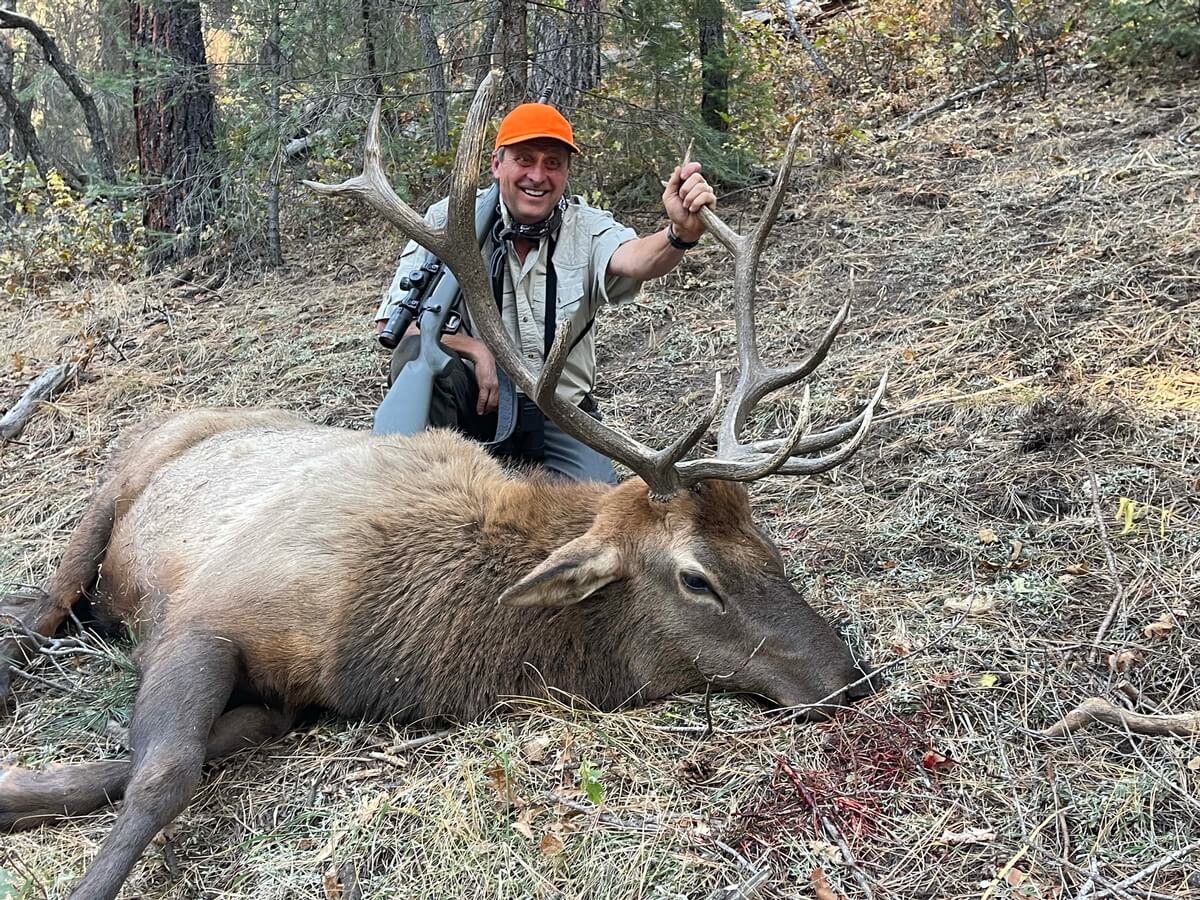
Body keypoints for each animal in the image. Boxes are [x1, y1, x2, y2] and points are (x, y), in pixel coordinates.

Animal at [0, 74, 888, 900]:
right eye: (697, 578)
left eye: (768, 548)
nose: (853, 678)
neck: (387, 636)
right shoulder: (206, 612)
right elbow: (165, 772)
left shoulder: (289, 699)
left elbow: (141, 765)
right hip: (116, 483)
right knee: (43, 605)